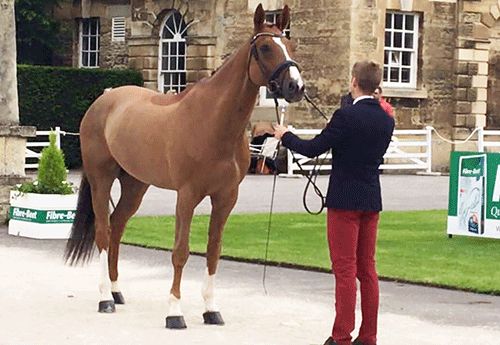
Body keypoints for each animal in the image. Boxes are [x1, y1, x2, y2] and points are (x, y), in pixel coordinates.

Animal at [63, 4, 304, 328]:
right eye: (265, 47)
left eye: (289, 44)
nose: (296, 87)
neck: (214, 123)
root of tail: (103, 101)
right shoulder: (187, 195)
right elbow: (180, 251)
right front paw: (174, 312)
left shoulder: (226, 198)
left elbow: (213, 251)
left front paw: (211, 309)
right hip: (102, 178)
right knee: (103, 231)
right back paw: (104, 299)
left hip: (135, 184)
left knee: (117, 227)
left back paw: (115, 291)